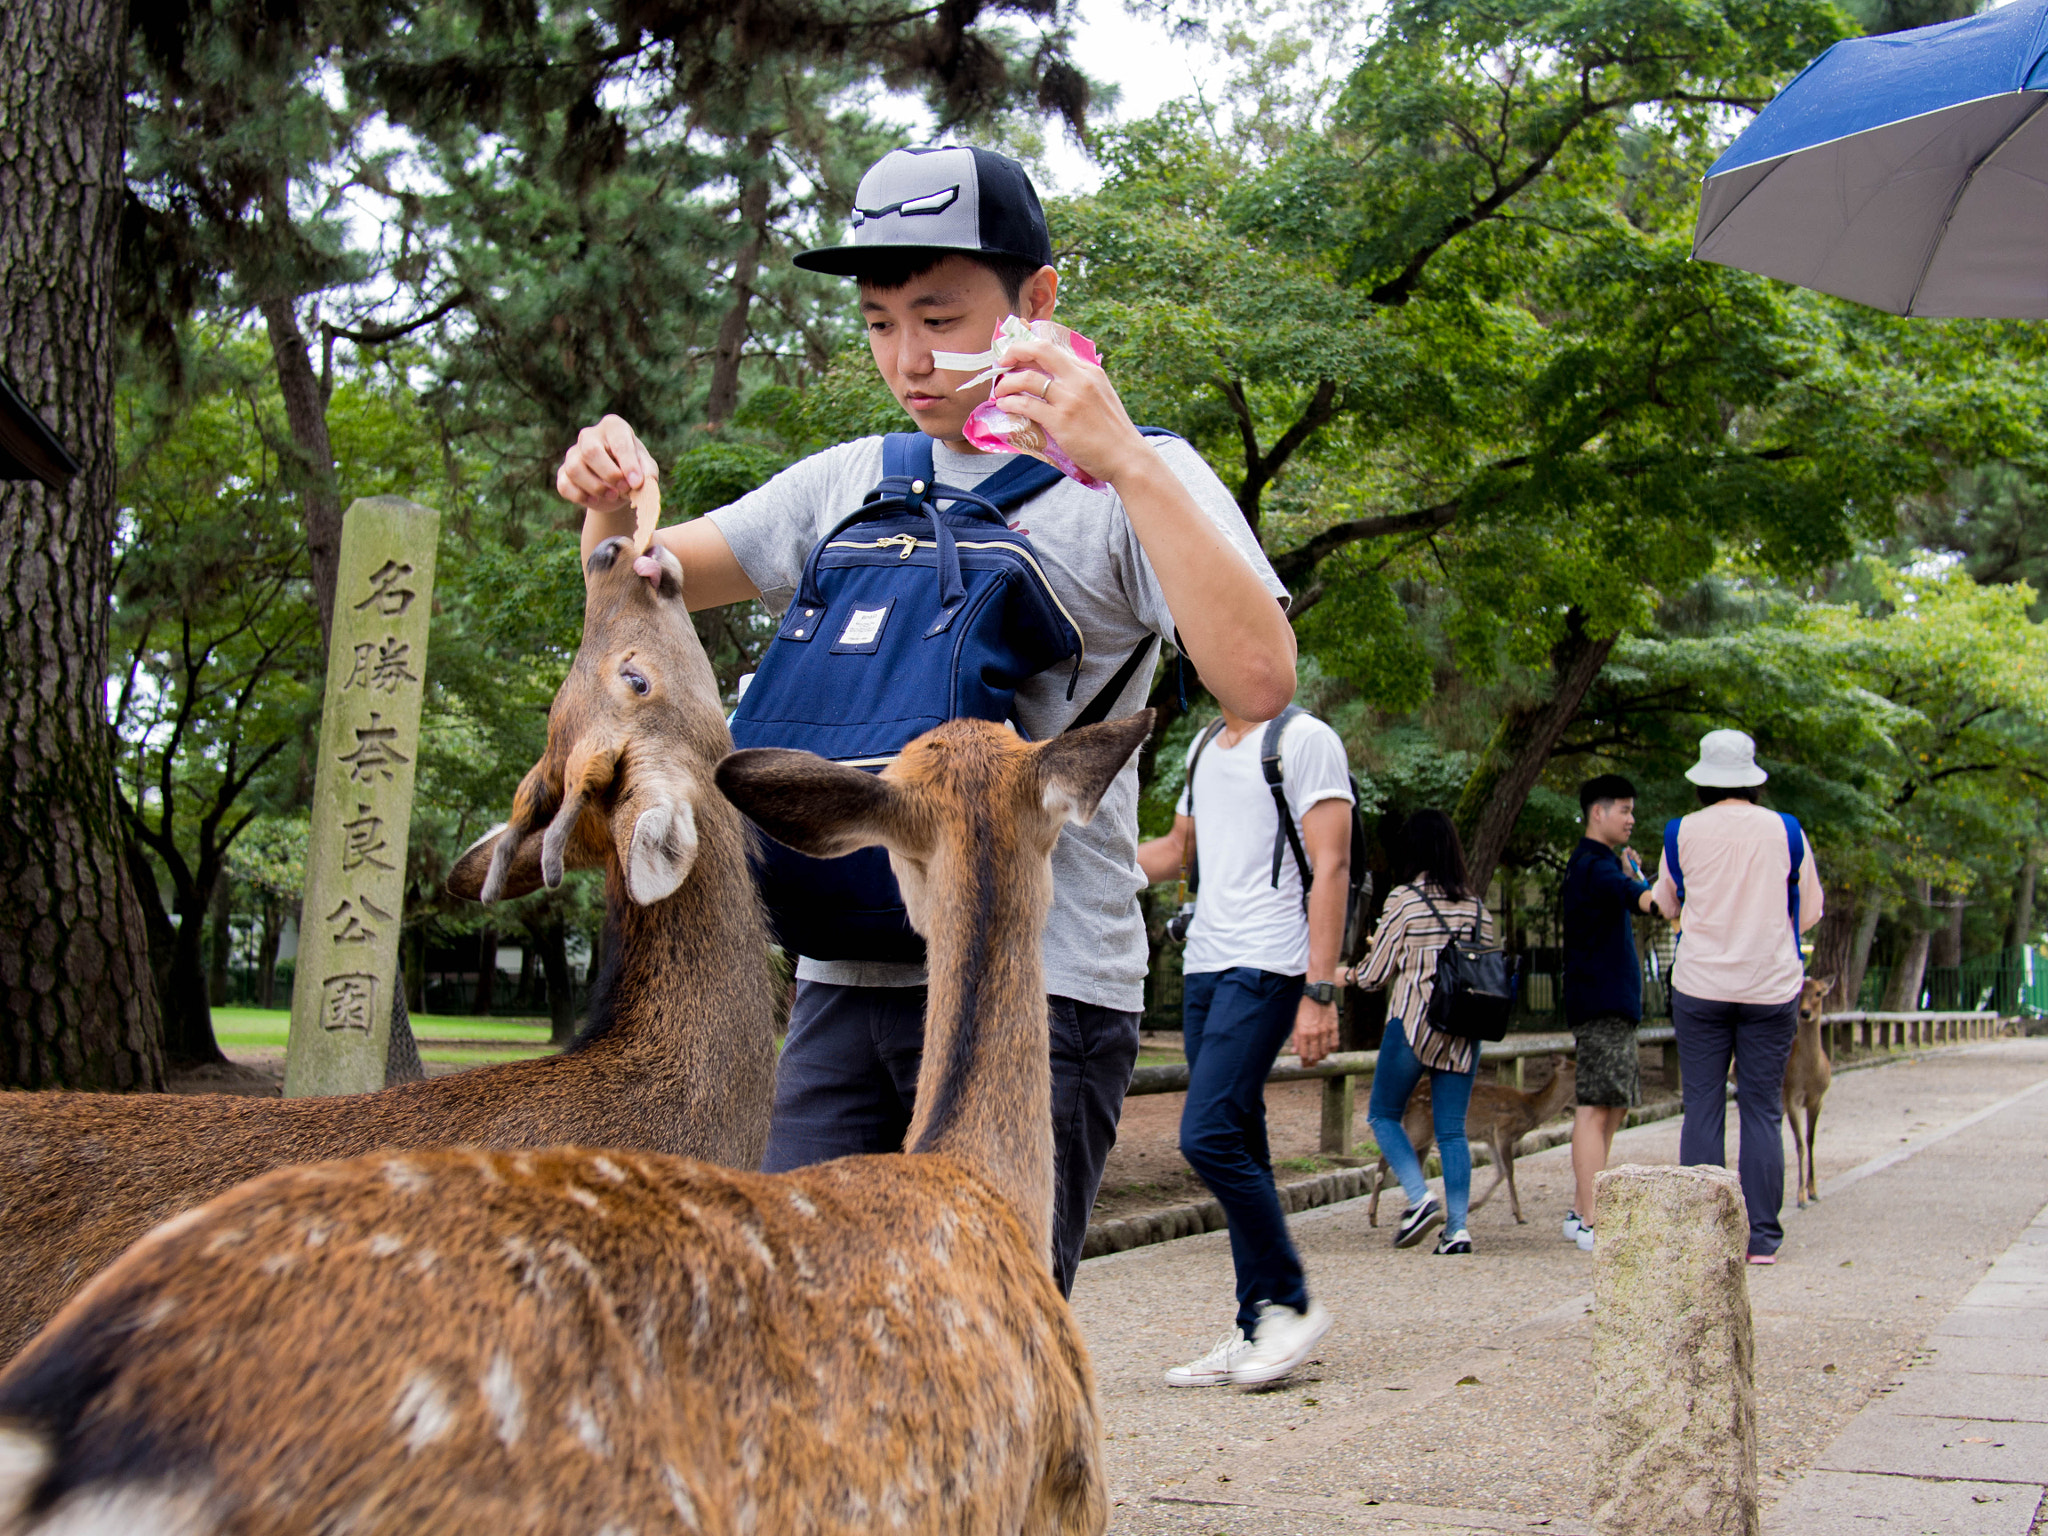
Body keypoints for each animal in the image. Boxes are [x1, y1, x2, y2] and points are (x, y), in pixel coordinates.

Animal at [1376, 1056, 1581, 1228]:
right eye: (1577, 1070)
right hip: (1419, 1127)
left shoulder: (1490, 1138)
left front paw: (1472, 1206)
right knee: (1386, 1158)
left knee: (1414, 1162)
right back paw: (1374, 1217)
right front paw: (1520, 1216)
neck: (1532, 1109)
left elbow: (1500, 1172)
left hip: (1425, 1134)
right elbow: (1510, 1171)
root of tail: (1411, 1097)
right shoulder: (1503, 1130)